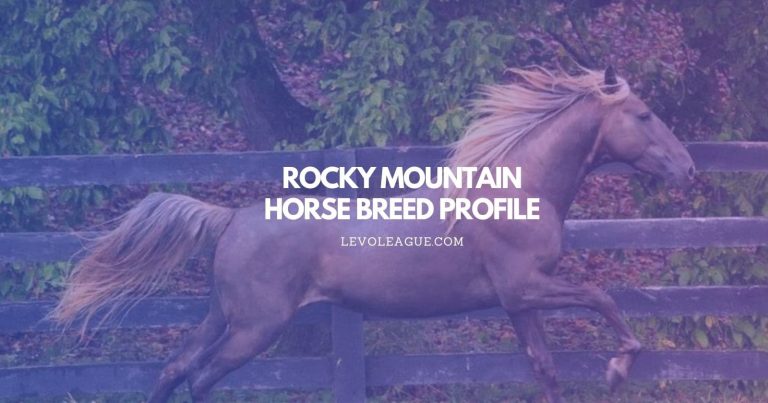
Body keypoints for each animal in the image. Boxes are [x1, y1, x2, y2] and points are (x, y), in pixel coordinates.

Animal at [50, 66, 695, 403]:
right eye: (643, 116)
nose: (688, 167)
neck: (517, 189)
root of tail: (232, 219)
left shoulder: (518, 303)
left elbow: (545, 367)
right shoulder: (526, 286)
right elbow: (602, 297)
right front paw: (618, 367)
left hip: (221, 316)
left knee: (174, 369)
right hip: (257, 327)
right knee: (201, 377)